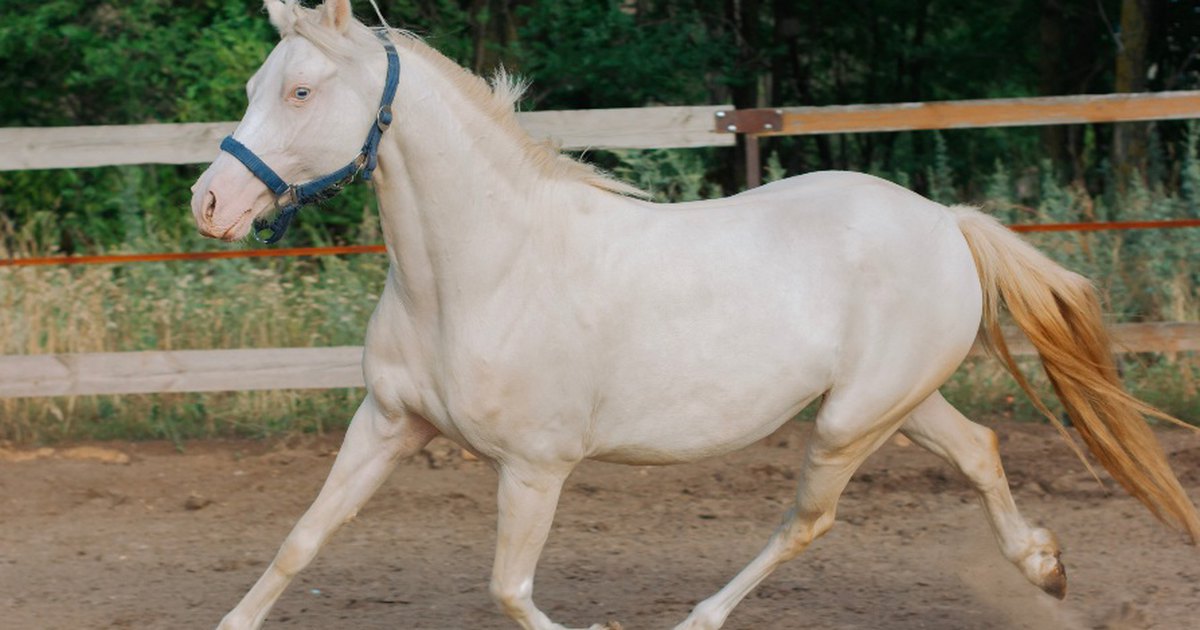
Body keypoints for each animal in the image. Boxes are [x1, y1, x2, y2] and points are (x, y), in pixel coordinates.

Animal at [189, 2, 1200, 624]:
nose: (210, 203)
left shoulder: (535, 469)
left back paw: (701, 618)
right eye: (251, 87)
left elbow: (511, 589)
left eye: (302, 91)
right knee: (980, 451)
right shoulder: (388, 422)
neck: (484, 270)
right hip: (901, 406)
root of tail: (947, 222)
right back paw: (1045, 568)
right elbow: (301, 541)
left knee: (810, 520)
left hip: (850, 421)